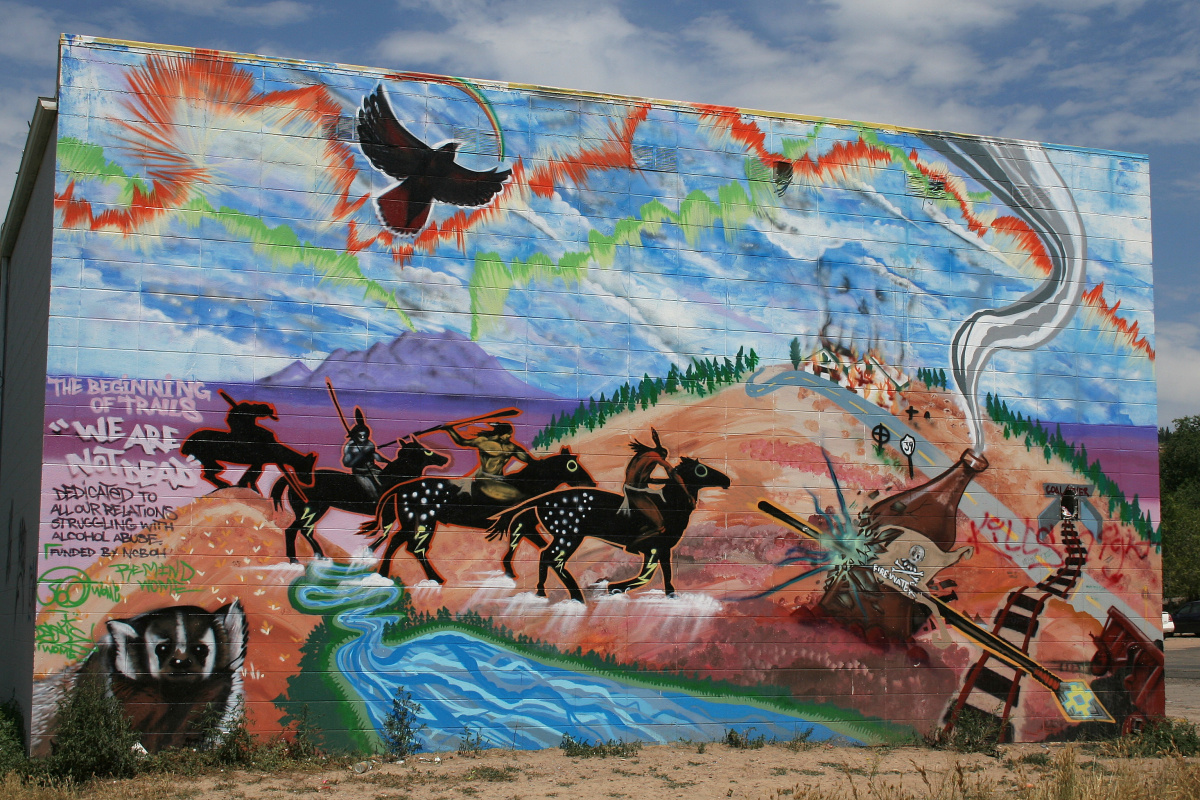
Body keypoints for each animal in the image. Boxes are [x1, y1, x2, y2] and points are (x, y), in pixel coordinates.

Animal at [177, 391, 316, 491]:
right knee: (209, 473)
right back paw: (224, 485)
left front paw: (247, 486)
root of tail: (186, 444)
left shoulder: (258, 463)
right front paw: (248, 487)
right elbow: (251, 477)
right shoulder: (258, 462)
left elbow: (250, 477)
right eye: (307, 467)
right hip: (209, 459)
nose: (309, 483)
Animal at [270, 441, 451, 566]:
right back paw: (295, 560)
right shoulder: (389, 513)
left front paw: (367, 552)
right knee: (293, 530)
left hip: (317, 510)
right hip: (311, 509)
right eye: (427, 451)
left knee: (305, 531)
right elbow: (385, 533)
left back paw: (320, 556)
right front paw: (367, 551)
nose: (444, 459)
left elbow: (385, 533)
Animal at [357, 448, 597, 585]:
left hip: (412, 520)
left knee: (399, 542)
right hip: (425, 521)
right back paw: (434, 578)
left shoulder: (526, 525)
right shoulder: (523, 524)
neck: (526, 486)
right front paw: (510, 571)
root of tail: (401, 487)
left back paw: (386, 575)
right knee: (413, 547)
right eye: (572, 465)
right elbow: (522, 545)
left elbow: (533, 545)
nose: (592, 483)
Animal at [487, 455, 729, 599]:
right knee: (550, 557)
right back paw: (572, 596)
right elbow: (646, 575)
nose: (726, 480)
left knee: (547, 556)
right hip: (568, 535)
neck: (668, 505)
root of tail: (543, 500)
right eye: (700, 470)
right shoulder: (652, 548)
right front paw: (613, 587)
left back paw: (547, 592)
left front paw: (671, 597)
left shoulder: (663, 549)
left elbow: (667, 575)